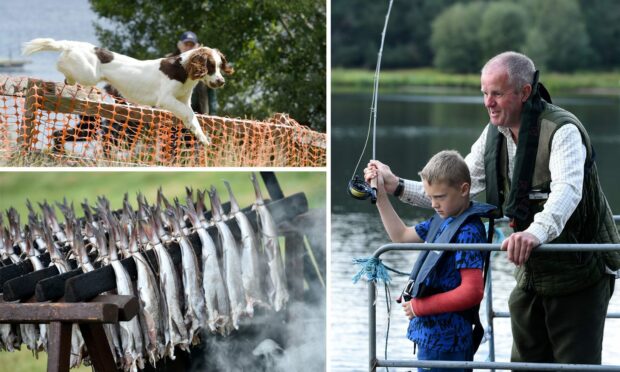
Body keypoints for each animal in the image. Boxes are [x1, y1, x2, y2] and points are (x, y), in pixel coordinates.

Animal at [23, 37, 234, 145]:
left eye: (220, 65)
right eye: (210, 66)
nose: (221, 81)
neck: (183, 70)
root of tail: (73, 44)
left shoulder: (184, 99)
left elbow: (194, 118)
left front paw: (203, 138)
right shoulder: (166, 99)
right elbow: (189, 114)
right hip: (87, 73)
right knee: (60, 62)